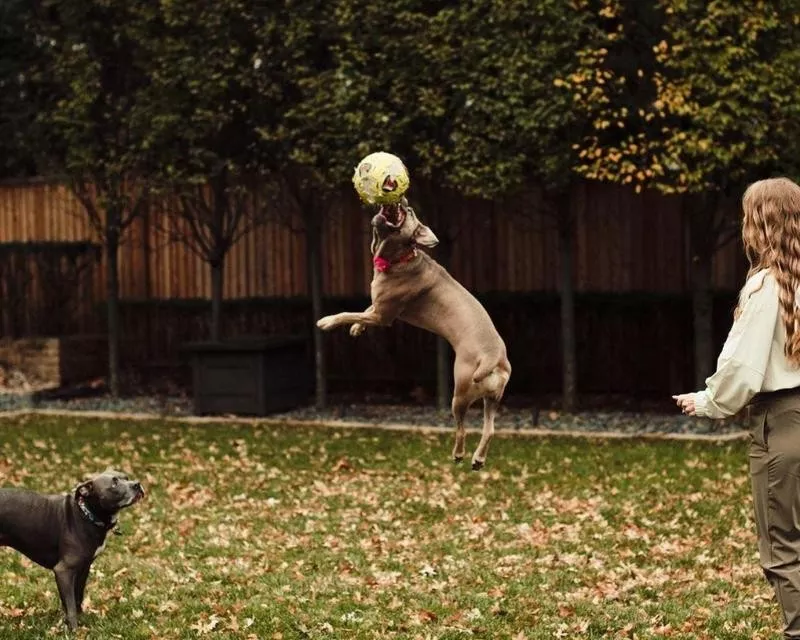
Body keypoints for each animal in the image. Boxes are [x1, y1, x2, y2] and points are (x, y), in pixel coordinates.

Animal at [0, 470, 144, 632]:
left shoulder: (84, 568)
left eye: (126, 477)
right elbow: (70, 606)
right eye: (114, 483)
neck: (86, 515)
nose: (137, 484)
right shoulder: (64, 571)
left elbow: (77, 599)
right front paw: (75, 630)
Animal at [316, 198, 510, 468]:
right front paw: (357, 327)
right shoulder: (380, 307)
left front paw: (328, 321)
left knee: (461, 429)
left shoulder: (384, 316)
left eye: (409, 214)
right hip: (492, 398)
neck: (400, 257)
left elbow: (350, 312)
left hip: (460, 393)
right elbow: (365, 309)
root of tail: (494, 357)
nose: (403, 200)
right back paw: (478, 459)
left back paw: (459, 454)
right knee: (489, 429)